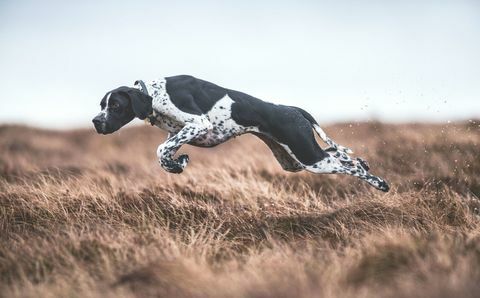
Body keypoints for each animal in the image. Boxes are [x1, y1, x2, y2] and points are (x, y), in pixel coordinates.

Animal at [91, 74, 390, 191]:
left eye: (115, 106)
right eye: (101, 105)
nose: (95, 121)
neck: (153, 94)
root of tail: (293, 109)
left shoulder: (198, 124)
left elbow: (160, 150)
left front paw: (177, 163)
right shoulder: (179, 132)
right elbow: (165, 152)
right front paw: (177, 164)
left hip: (308, 157)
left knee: (350, 165)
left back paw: (379, 183)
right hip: (294, 159)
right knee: (345, 157)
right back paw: (365, 164)